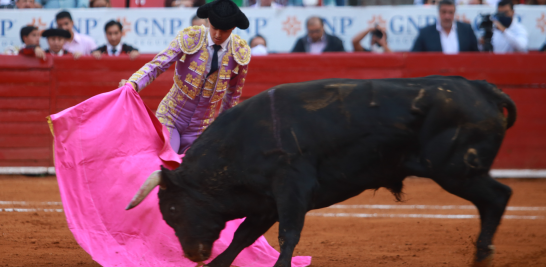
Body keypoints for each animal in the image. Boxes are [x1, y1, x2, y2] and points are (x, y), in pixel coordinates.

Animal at [126, 76, 516, 267]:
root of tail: (482, 89)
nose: (193, 255)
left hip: (456, 170)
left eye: (173, 209)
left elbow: (288, 234)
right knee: (494, 200)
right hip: (459, 172)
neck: (240, 143)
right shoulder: (266, 202)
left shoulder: (291, 188)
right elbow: (243, 237)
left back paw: (483, 255)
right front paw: (214, 266)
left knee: (499, 197)